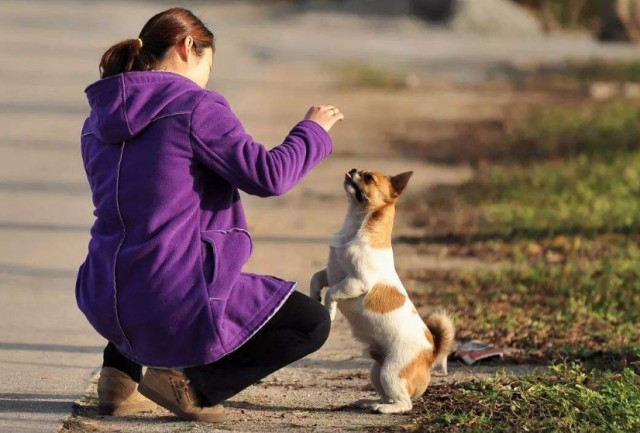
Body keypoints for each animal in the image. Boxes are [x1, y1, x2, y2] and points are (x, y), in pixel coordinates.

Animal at [310, 168, 456, 412]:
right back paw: (369, 402)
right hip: (376, 371)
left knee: (405, 404)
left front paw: (328, 312)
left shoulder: (356, 283)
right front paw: (314, 296)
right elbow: (316, 279)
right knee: (389, 396)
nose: (353, 170)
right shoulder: (331, 273)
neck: (355, 226)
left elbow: (332, 293)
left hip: (391, 372)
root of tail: (430, 352)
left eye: (369, 178)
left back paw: (385, 409)